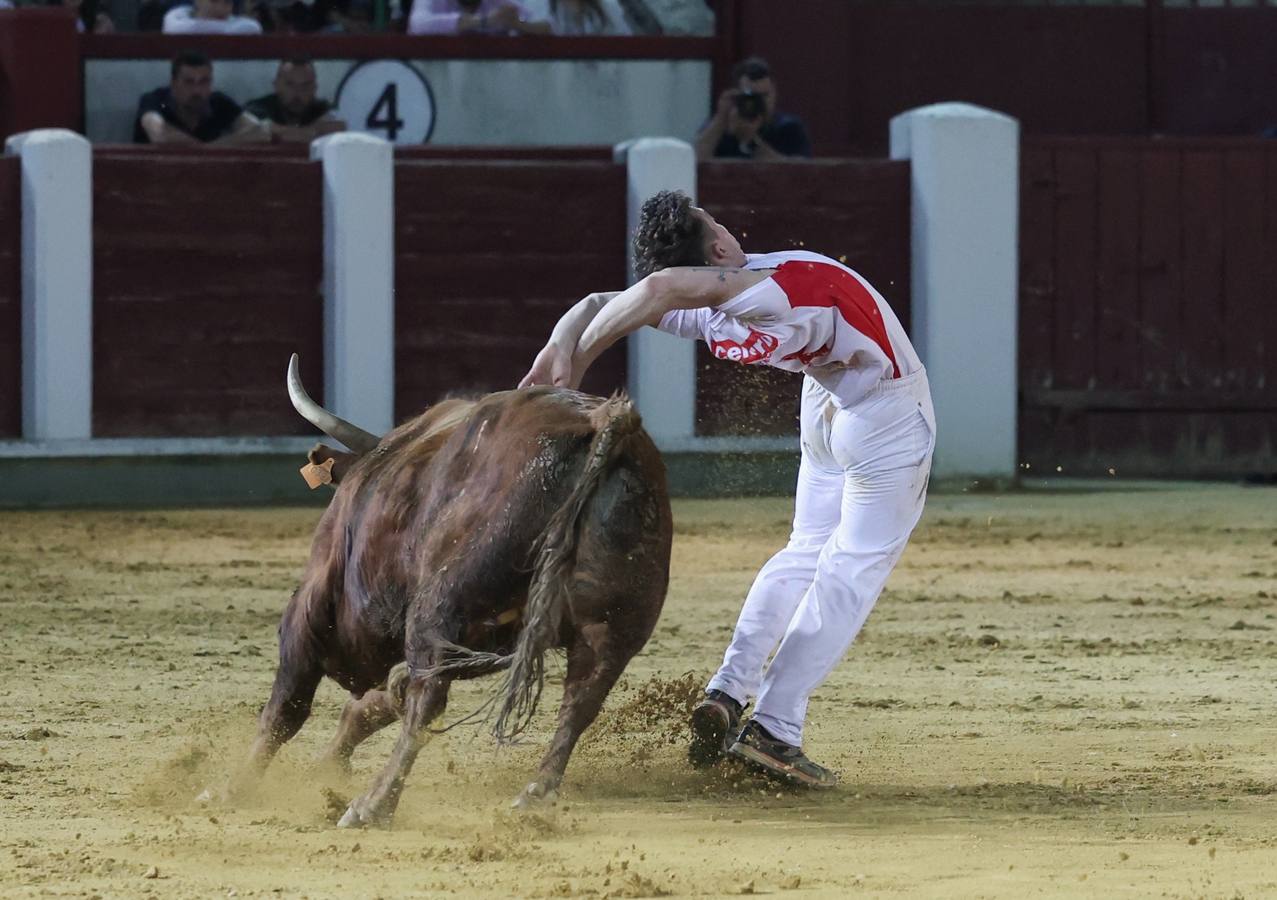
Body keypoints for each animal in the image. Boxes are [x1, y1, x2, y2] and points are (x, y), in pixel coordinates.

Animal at [231, 354, 674, 827]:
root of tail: (603, 420)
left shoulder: (311, 604)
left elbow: (287, 707)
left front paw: (232, 787)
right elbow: (376, 702)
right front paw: (326, 763)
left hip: (440, 604)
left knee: (427, 700)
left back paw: (372, 805)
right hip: (612, 624)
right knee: (583, 697)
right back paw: (535, 793)